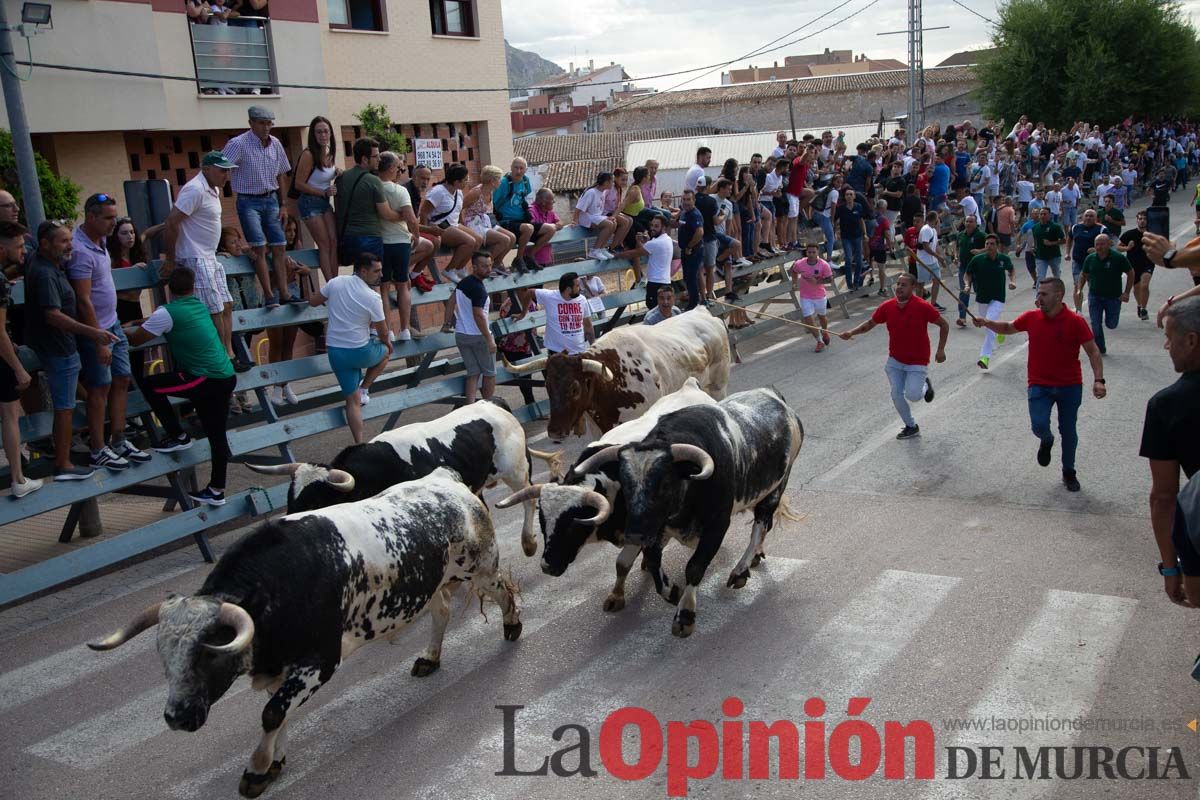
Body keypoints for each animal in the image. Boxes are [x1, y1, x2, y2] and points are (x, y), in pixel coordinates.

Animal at [84, 465, 516, 796]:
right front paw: (275, 760)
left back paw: (513, 625)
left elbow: (272, 713)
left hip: (480, 569)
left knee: (503, 590)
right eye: (163, 655)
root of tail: (445, 478)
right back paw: (430, 656)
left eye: (208, 653)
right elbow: (280, 714)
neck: (273, 586)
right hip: (432, 586)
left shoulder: (320, 661)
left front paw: (257, 769)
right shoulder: (282, 667)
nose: (176, 716)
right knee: (441, 612)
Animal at [247, 398, 561, 556]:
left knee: (528, 500)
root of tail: (493, 402)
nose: (285, 528)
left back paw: (528, 543)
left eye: (316, 500)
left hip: (516, 470)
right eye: (290, 498)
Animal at [494, 379, 715, 609]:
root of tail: (690, 386)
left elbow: (623, 562)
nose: (548, 566)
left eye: (573, 524)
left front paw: (623, 594)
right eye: (543, 522)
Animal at [571, 388, 806, 638]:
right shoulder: (657, 530)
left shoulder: (717, 524)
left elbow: (694, 567)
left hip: (774, 490)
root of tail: (773, 395)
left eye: (665, 483)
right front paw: (671, 592)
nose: (634, 535)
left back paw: (740, 570)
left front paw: (685, 615)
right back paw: (755, 557)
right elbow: (653, 563)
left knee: (759, 527)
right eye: (625, 485)